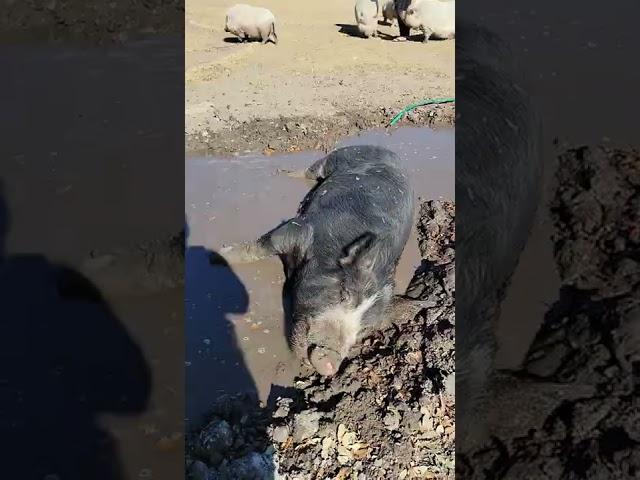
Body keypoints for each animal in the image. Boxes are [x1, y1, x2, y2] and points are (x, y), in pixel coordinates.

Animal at [216, 144, 416, 376]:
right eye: (344, 294)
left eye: (364, 329)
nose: (330, 363)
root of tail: (383, 148)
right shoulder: (300, 229)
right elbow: (262, 245)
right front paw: (218, 255)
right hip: (334, 159)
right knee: (310, 171)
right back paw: (284, 174)